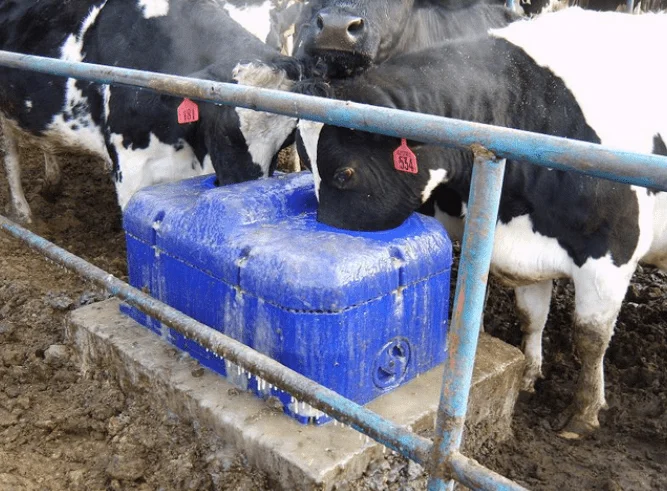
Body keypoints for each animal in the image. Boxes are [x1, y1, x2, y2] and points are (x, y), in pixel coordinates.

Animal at [0, 0, 307, 224]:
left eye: (286, 142)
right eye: (225, 132)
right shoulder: (131, 172)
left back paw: (51, 183)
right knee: (11, 155)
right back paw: (22, 212)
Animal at [292, 8, 667, 438]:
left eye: (344, 174)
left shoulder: (612, 253)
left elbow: (590, 338)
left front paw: (583, 413)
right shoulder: (526, 251)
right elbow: (531, 315)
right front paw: (529, 374)